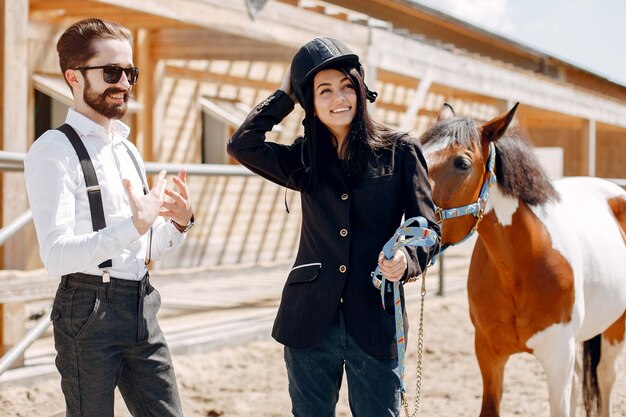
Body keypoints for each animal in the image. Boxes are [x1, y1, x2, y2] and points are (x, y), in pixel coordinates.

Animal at [420, 101, 624, 416]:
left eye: (462, 163)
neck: (518, 269)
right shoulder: (488, 354)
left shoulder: (558, 355)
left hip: (614, 328)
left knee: (604, 377)